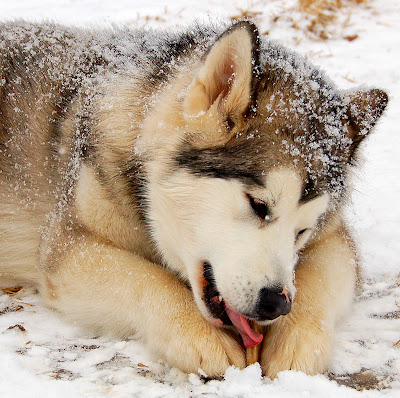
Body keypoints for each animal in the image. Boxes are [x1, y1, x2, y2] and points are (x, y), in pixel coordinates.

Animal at [0, 20, 388, 378]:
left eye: (303, 231)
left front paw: (298, 340)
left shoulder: (335, 239)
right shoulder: (70, 247)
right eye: (258, 205)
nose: (276, 304)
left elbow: (317, 279)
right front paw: (200, 334)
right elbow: (148, 278)